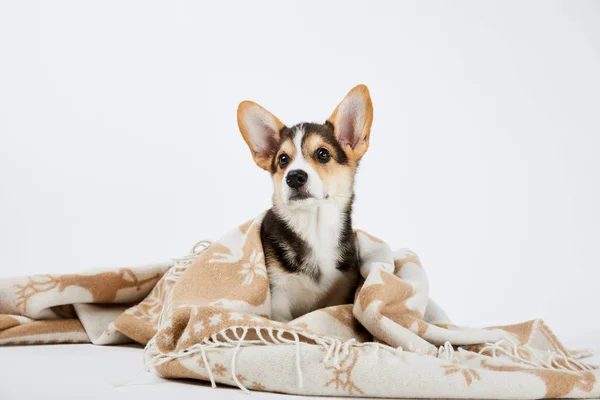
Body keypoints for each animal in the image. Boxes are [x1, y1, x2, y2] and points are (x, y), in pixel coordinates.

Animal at [237, 84, 372, 322]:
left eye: (323, 154)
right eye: (282, 159)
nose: (294, 177)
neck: (314, 228)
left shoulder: (341, 292)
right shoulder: (277, 295)